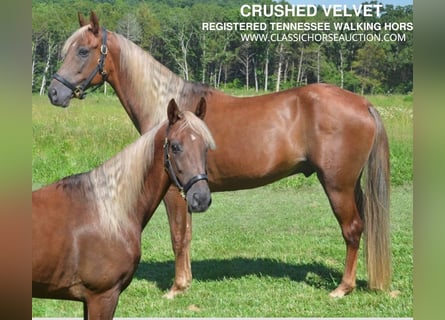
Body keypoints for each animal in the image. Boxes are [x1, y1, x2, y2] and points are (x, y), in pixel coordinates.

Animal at [46, 11, 390, 298]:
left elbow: (178, 236)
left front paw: (176, 288)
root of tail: (362, 103)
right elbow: (187, 235)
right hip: (351, 185)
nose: (54, 92)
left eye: (83, 50)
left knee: (352, 229)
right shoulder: (189, 191)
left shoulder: (173, 192)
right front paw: (186, 282)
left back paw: (342, 289)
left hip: (337, 185)